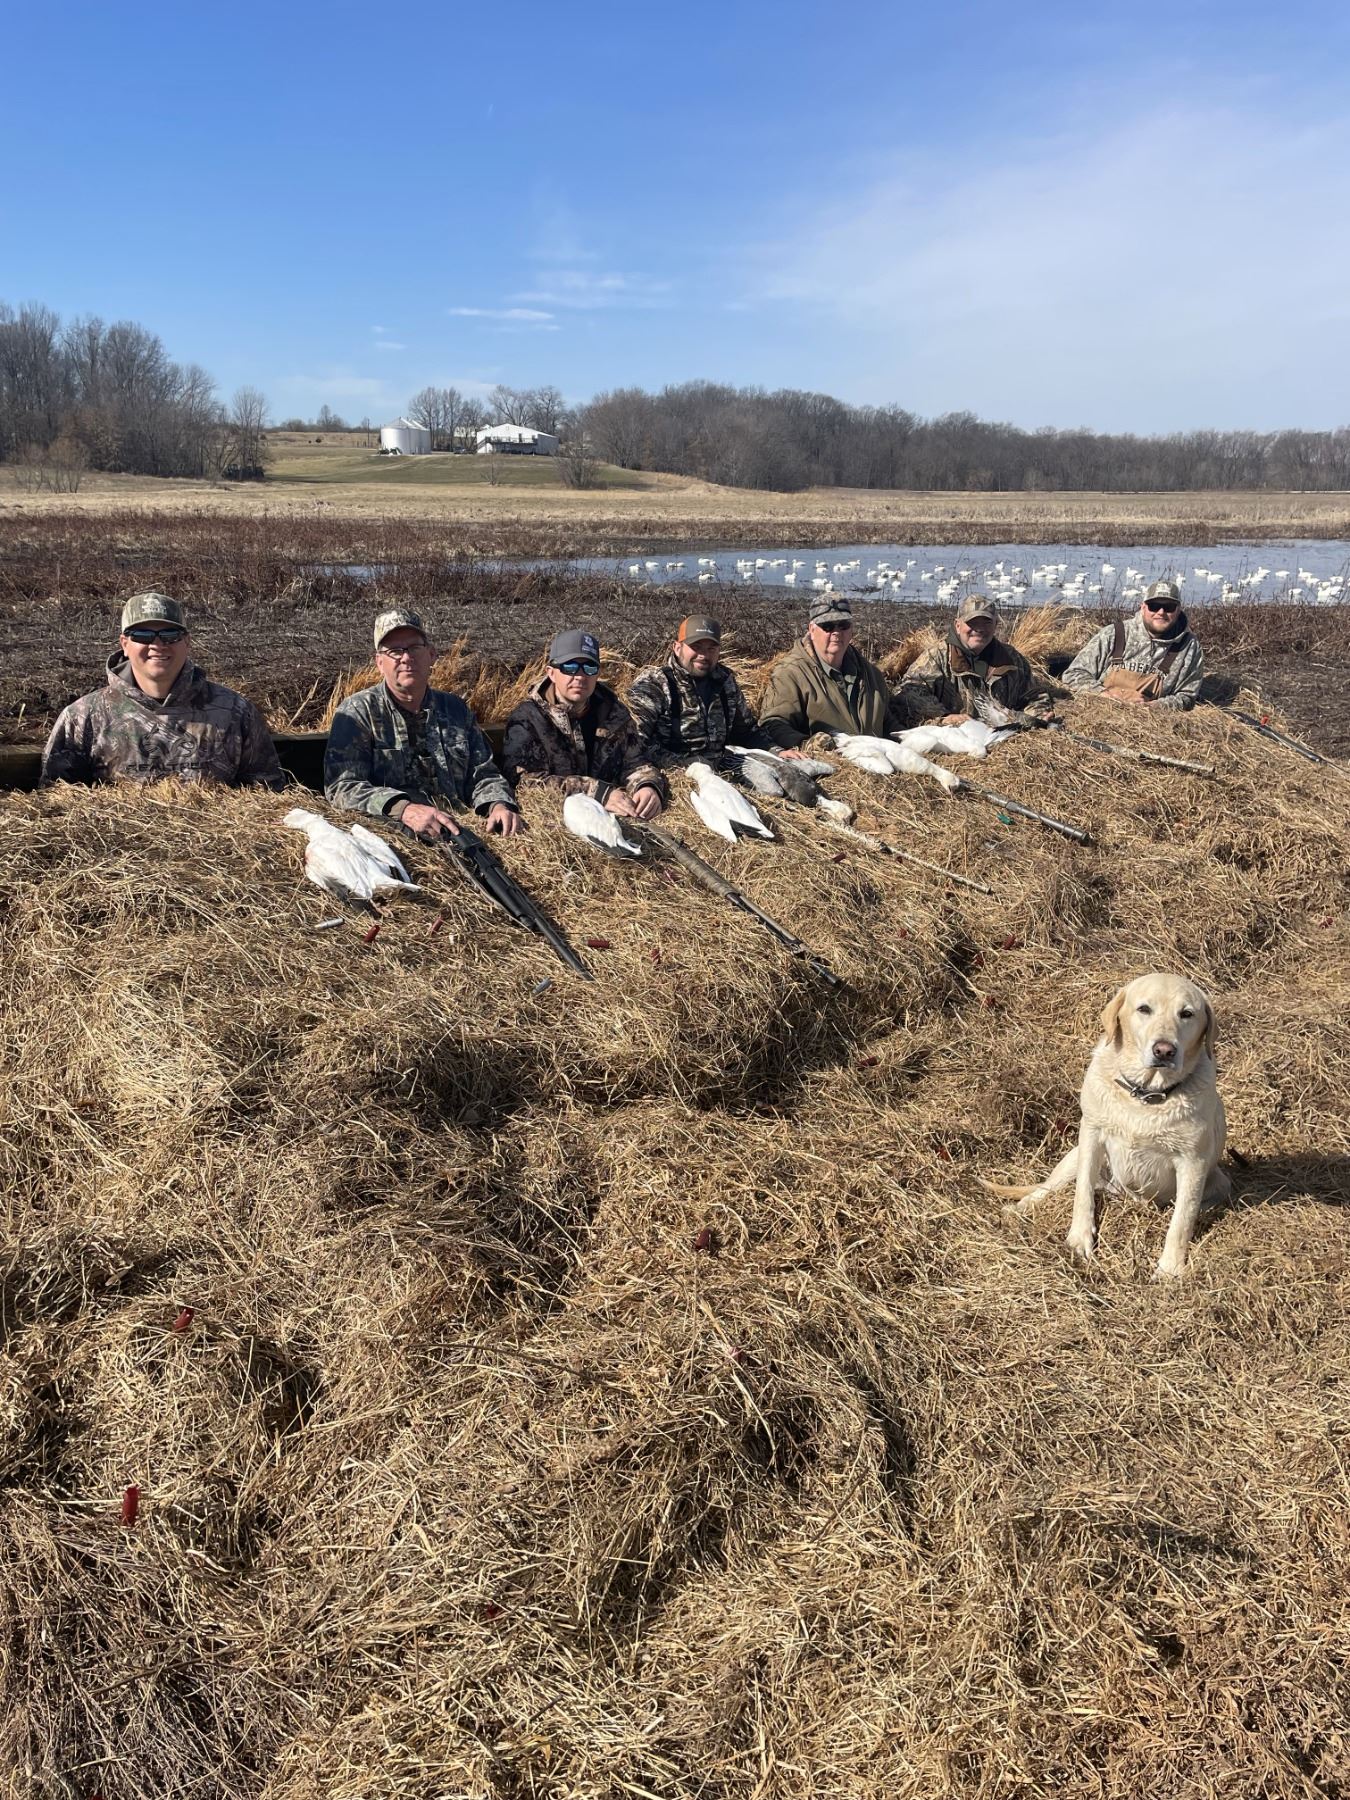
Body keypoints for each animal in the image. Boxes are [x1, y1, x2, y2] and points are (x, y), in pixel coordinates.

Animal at [991, 972, 1230, 1278]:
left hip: (1220, 1183)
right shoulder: (1091, 1134)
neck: (1145, 1095)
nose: (1164, 1050)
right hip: (1072, 1158)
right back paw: (1019, 1209)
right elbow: (1082, 1193)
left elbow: (1182, 1220)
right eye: (1144, 1009)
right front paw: (1078, 1239)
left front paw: (1170, 1268)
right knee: (1049, 1188)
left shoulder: (1193, 1162)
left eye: (1187, 1014)